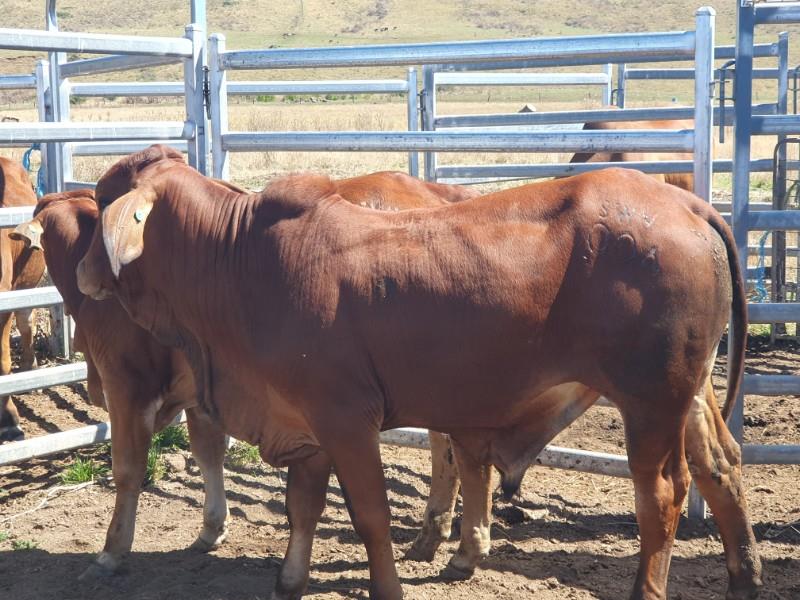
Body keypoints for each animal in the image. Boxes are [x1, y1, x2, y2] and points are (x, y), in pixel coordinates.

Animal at [10, 190, 230, 580]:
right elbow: (209, 453)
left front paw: (112, 551)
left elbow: (127, 470)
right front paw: (212, 528)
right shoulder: (200, 399)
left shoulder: (127, 391)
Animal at [76, 145, 756, 600]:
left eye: (104, 200)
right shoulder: (304, 427)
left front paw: (388, 586)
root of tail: (685, 201)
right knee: (719, 466)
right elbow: (303, 509)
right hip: (684, 398)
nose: (83, 272)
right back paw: (743, 576)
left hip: (650, 403)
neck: (237, 263)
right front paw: (290, 578)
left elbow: (370, 515)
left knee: (661, 496)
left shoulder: (346, 421)